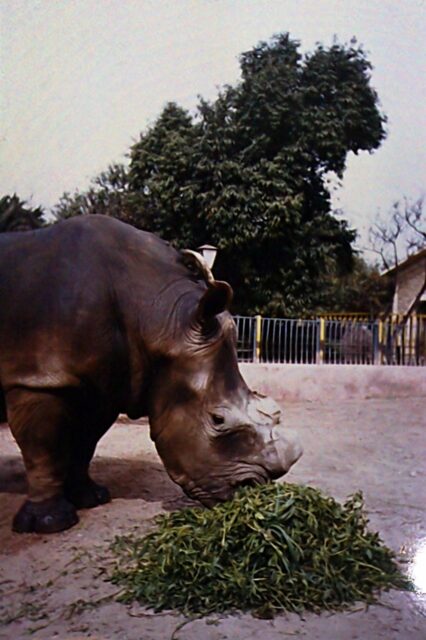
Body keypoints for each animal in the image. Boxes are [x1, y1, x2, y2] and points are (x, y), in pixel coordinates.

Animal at [0, 216, 302, 533]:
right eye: (217, 420)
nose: (251, 489)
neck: (158, 321)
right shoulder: (38, 377)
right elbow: (43, 447)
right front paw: (51, 523)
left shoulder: (104, 387)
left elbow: (85, 442)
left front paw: (91, 498)